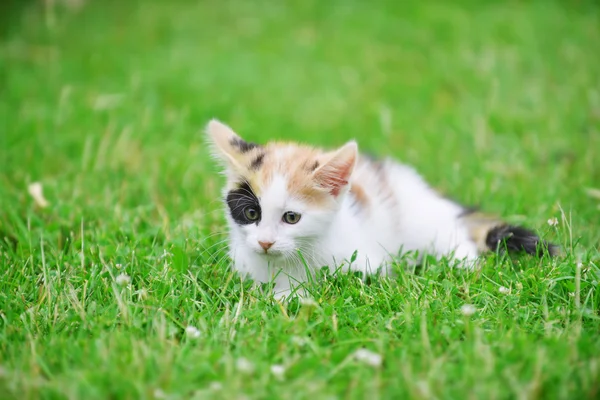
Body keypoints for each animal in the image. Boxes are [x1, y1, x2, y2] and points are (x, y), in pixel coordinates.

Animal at [205, 120, 552, 298]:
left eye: (292, 217)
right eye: (252, 214)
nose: (265, 242)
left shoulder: (365, 263)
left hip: (421, 220)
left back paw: (462, 264)